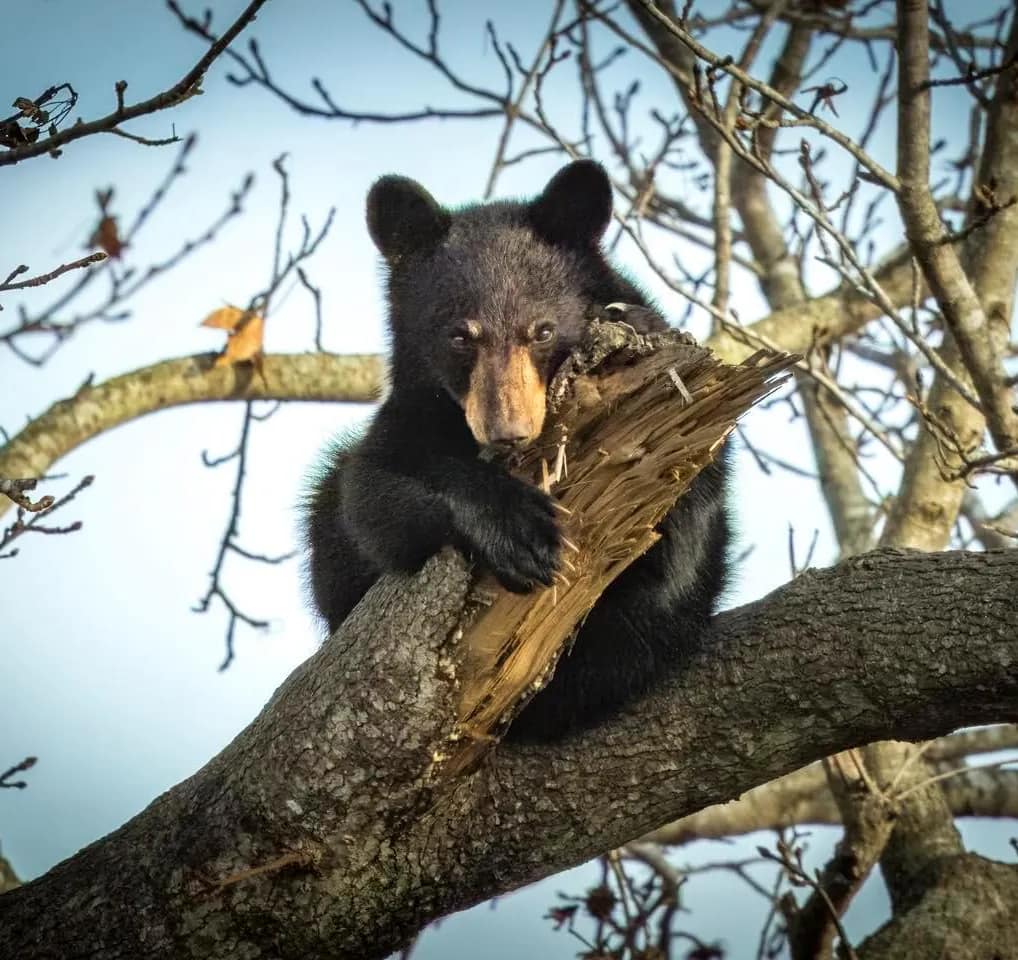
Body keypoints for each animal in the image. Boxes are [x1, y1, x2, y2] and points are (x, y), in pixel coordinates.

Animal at [304, 160, 729, 741]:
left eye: (542, 331)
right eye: (460, 336)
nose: (508, 429)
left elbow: (678, 519)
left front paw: (634, 322)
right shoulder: (409, 416)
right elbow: (370, 500)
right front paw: (518, 531)